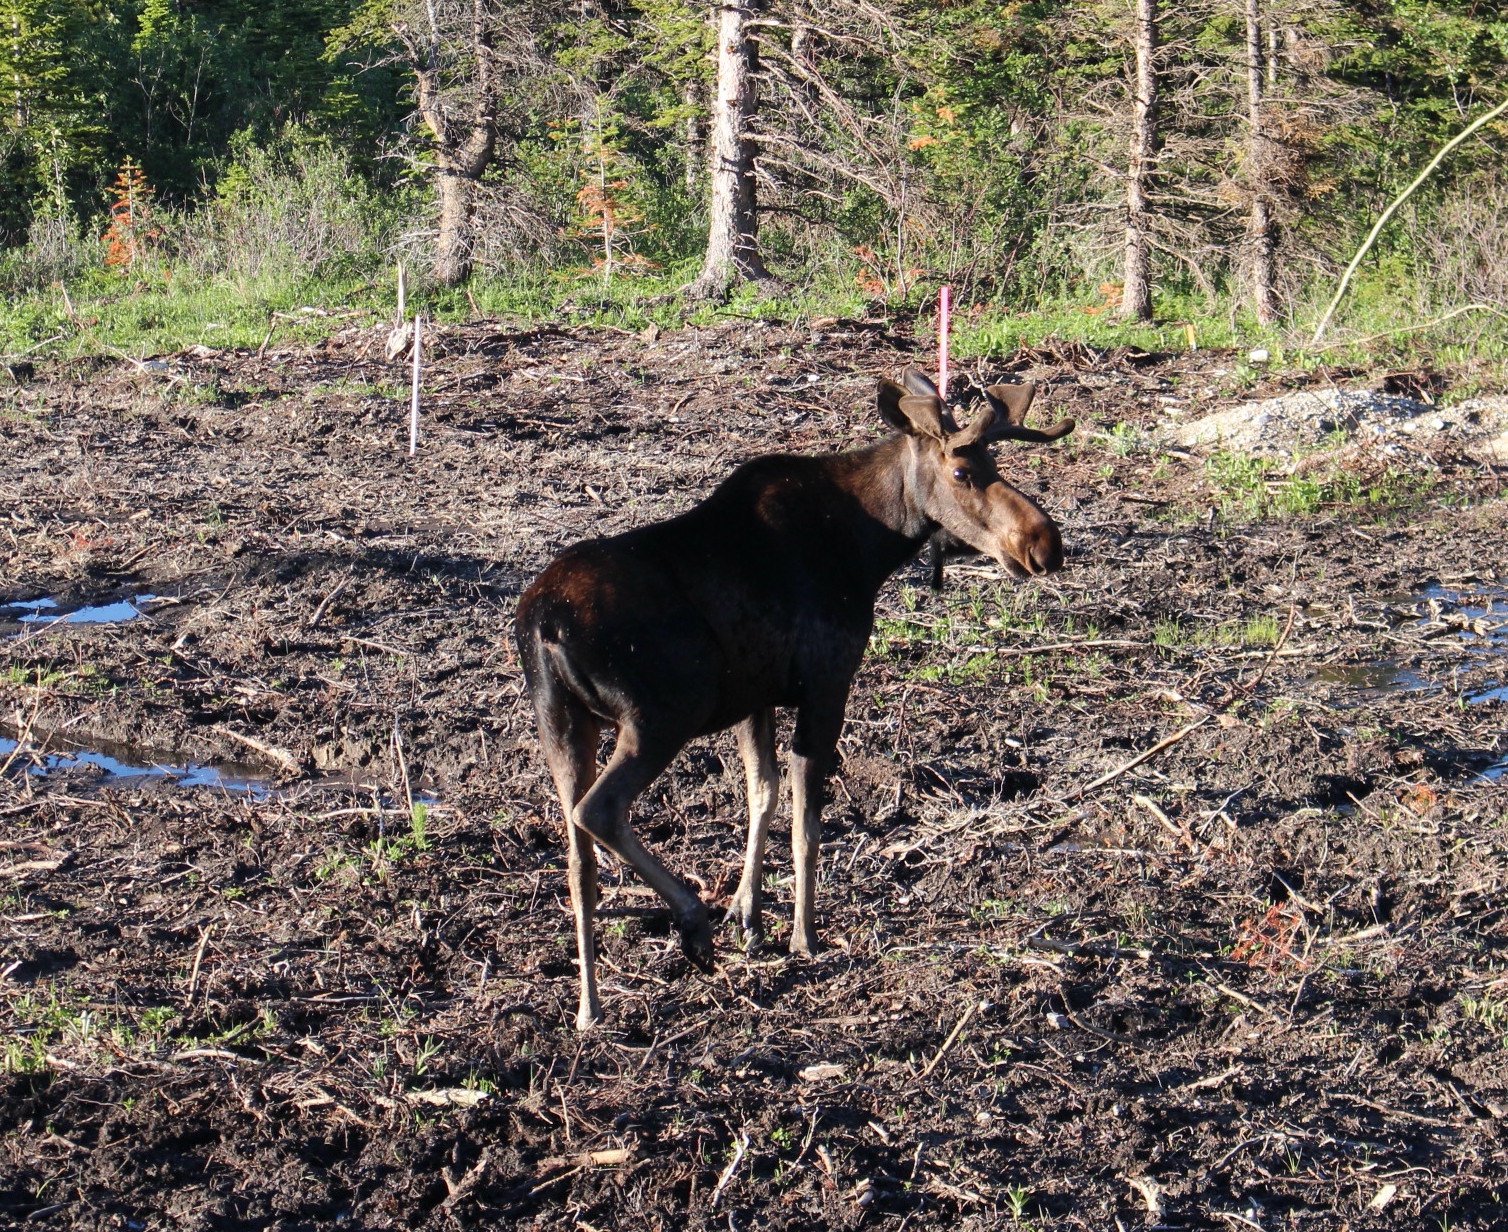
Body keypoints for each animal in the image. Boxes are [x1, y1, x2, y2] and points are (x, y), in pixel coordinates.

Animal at [515, 367, 1074, 1029]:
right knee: (598, 811)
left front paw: (750, 917)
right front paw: (802, 935)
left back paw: (590, 1005)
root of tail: (543, 625)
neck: (871, 544)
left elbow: (763, 793)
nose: (1044, 543)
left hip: (562, 723)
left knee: (577, 861)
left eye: (996, 460)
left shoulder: (755, 695)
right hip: (660, 716)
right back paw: (691, 922)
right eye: (963, 472)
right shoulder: (826, 681)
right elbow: (808, 819)